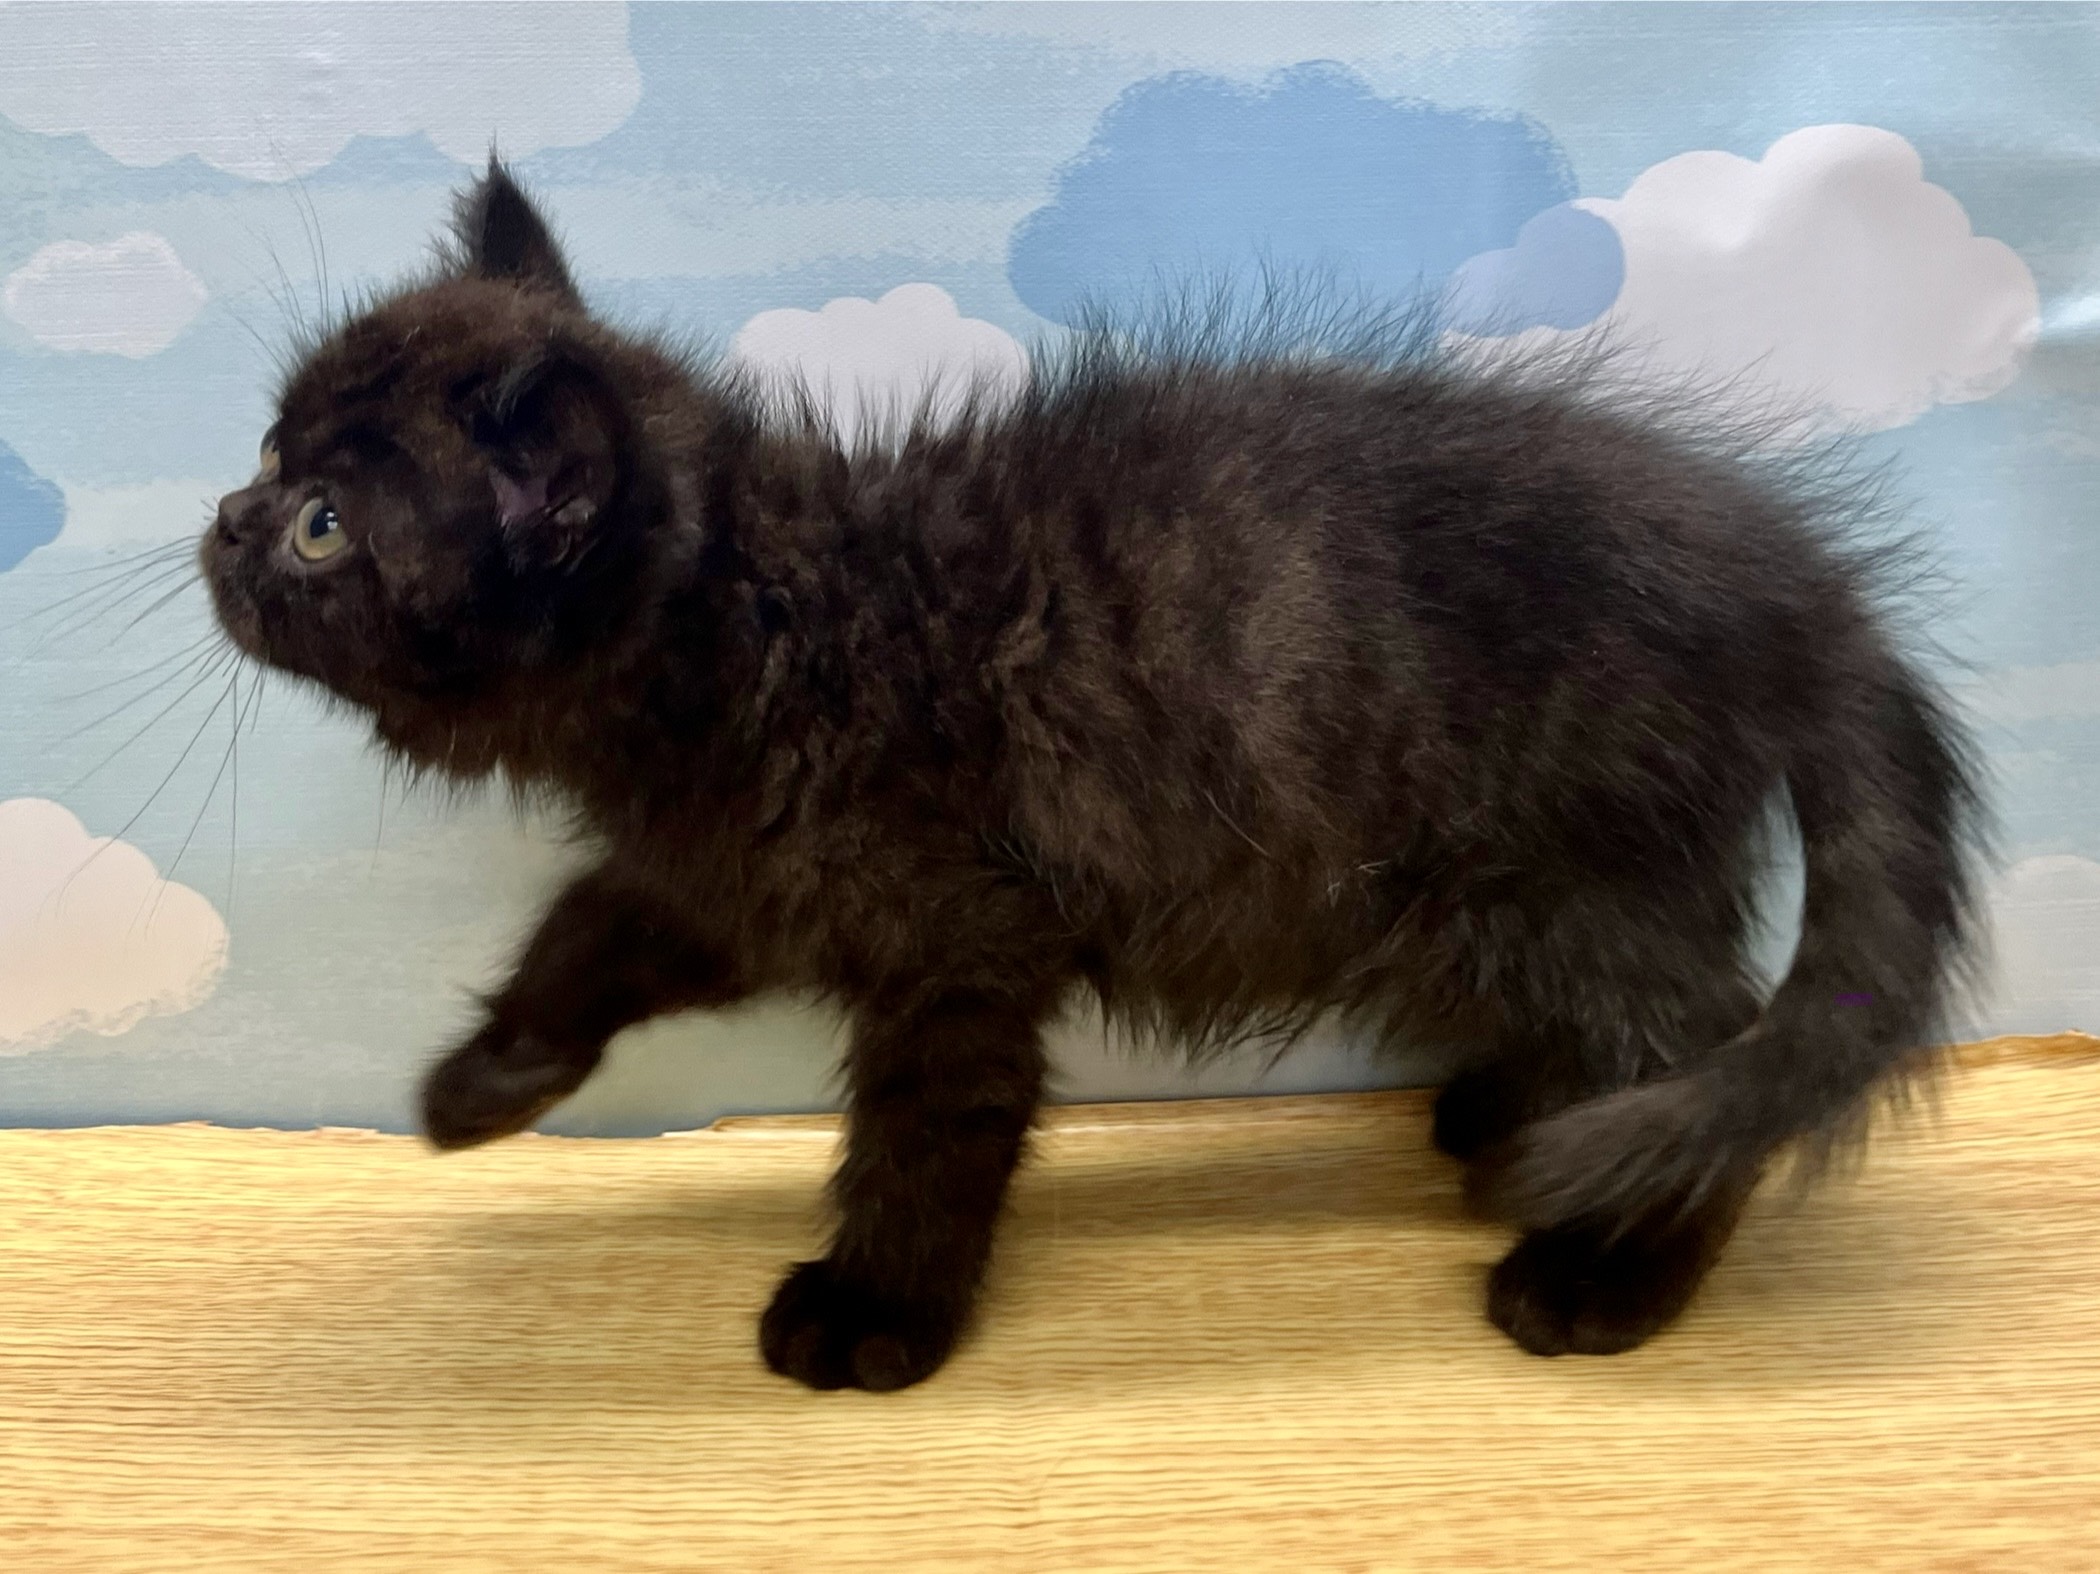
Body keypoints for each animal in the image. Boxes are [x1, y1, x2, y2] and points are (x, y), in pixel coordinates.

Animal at [202, 161, 1984, 1391]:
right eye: (271, 451)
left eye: (327, 526)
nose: (224, 517)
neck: (751, 622)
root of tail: (1798, 589)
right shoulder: (745, 869)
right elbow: (592, 925)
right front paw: (487, 1080)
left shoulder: (957, 935)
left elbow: (931, 1127)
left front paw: (879, 1310)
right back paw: (1517, 1112)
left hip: (1557, 877)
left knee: (1712, 1039)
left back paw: (1608, 1271)